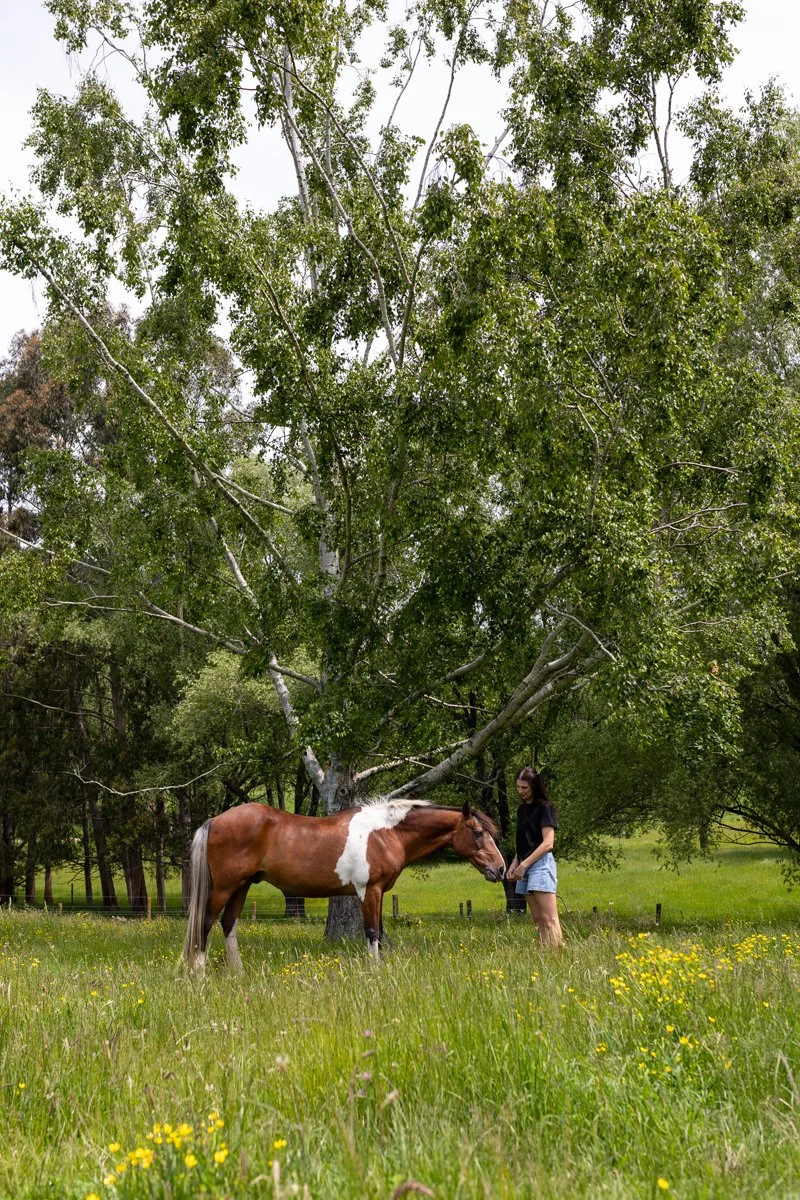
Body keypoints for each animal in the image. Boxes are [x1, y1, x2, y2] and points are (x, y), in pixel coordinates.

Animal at [183, 798, 505, 969]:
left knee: (228, 923)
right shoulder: (368, 891)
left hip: (243, 886)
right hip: (225, 887)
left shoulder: (379, 893)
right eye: (478, 832)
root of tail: (216, 820)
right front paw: (375, 973)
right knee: (204, 923)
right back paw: (199, 974)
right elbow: (372, 932)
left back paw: (238, 974)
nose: (501, 869)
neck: (385, 833)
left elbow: (380, 933)